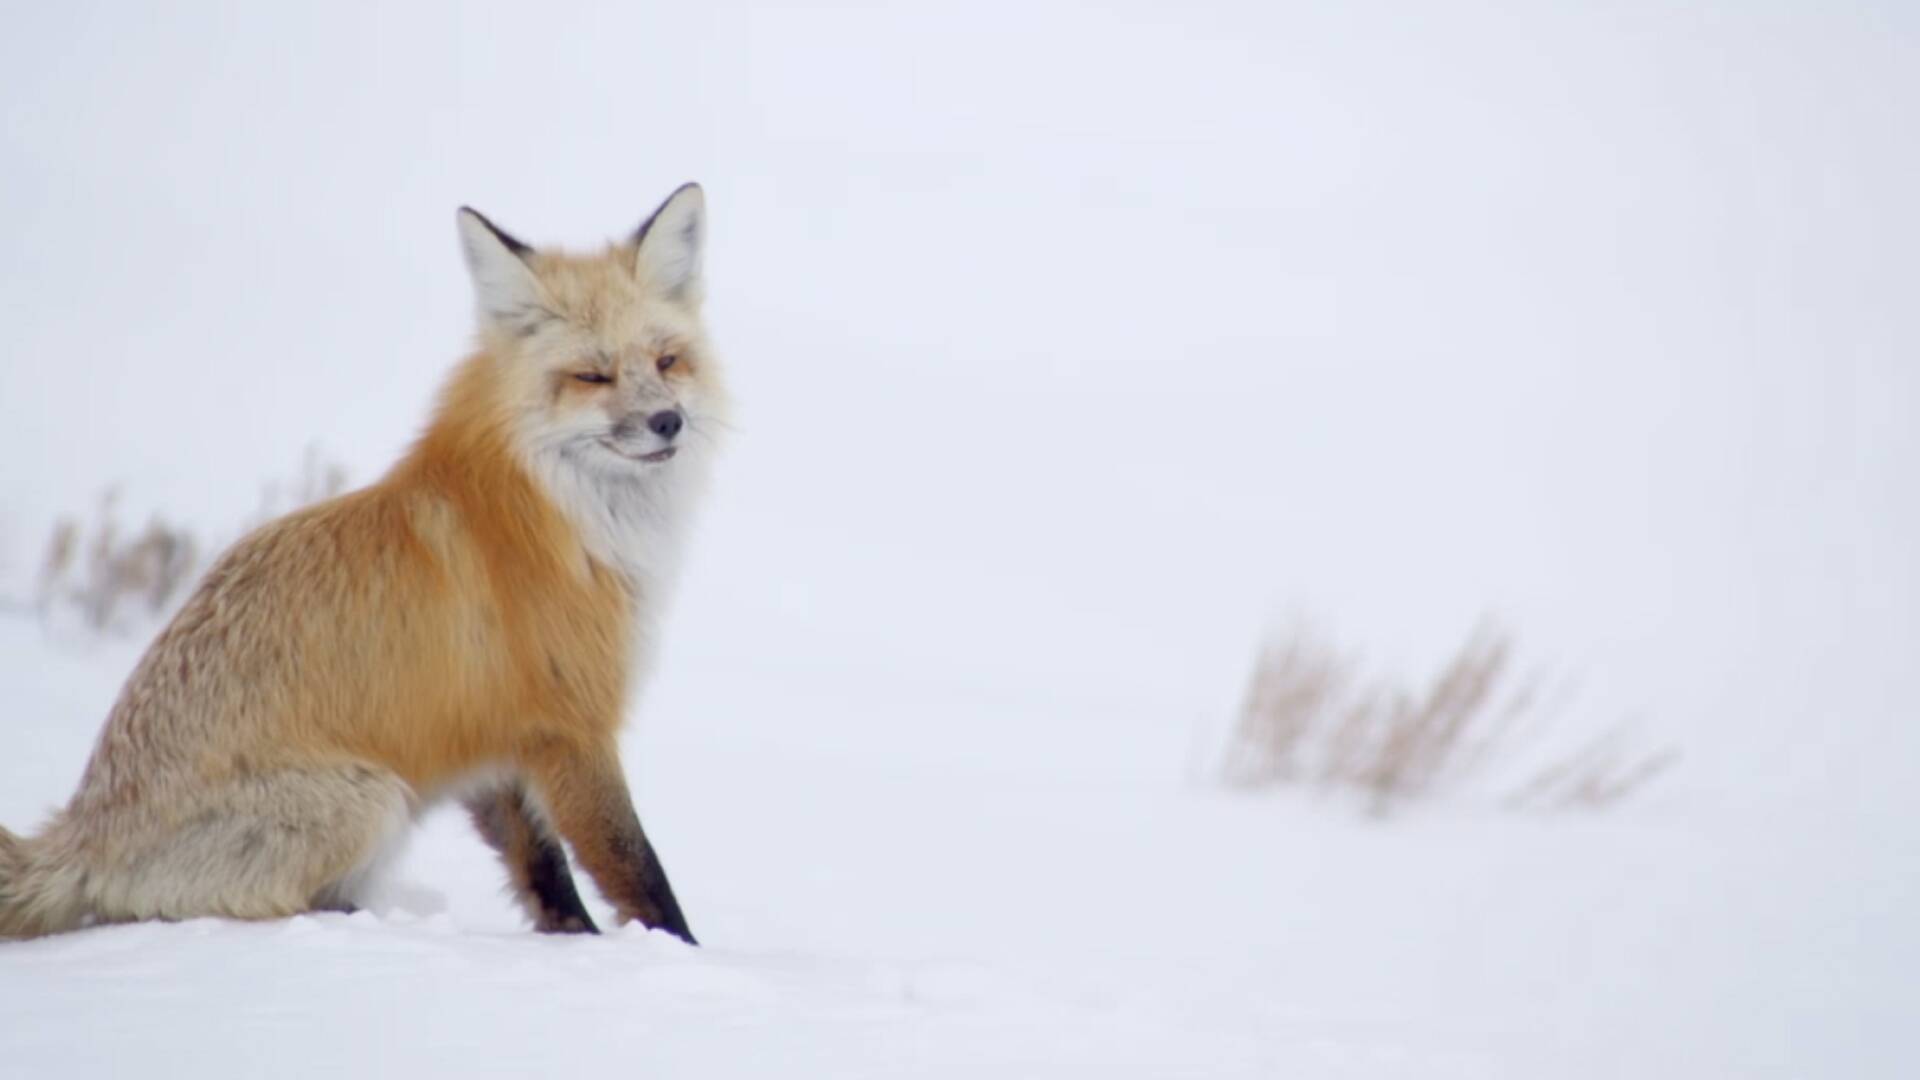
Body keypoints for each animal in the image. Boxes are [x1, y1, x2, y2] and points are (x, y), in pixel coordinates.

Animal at [1, 180, 721, 937]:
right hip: (371, 799)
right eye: (592, 375)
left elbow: (544, 874)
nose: (668, 421)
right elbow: (638, 872)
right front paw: (680, 955)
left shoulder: (494, 735)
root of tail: (82, 832)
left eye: (667, 360)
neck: (556, 510)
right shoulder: (571, 728)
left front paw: (572, 944)